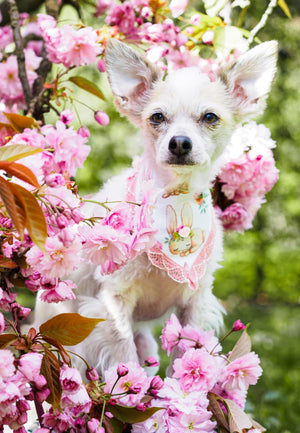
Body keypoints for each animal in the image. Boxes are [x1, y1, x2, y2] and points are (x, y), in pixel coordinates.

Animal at [32, 38, 276, 372]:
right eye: (157, 117)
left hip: (146, 342)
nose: (180, 143)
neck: (176, 195)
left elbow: (183, 359)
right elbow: (125, 355)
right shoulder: (114, 300)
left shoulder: (194, 303)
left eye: (210, 117)